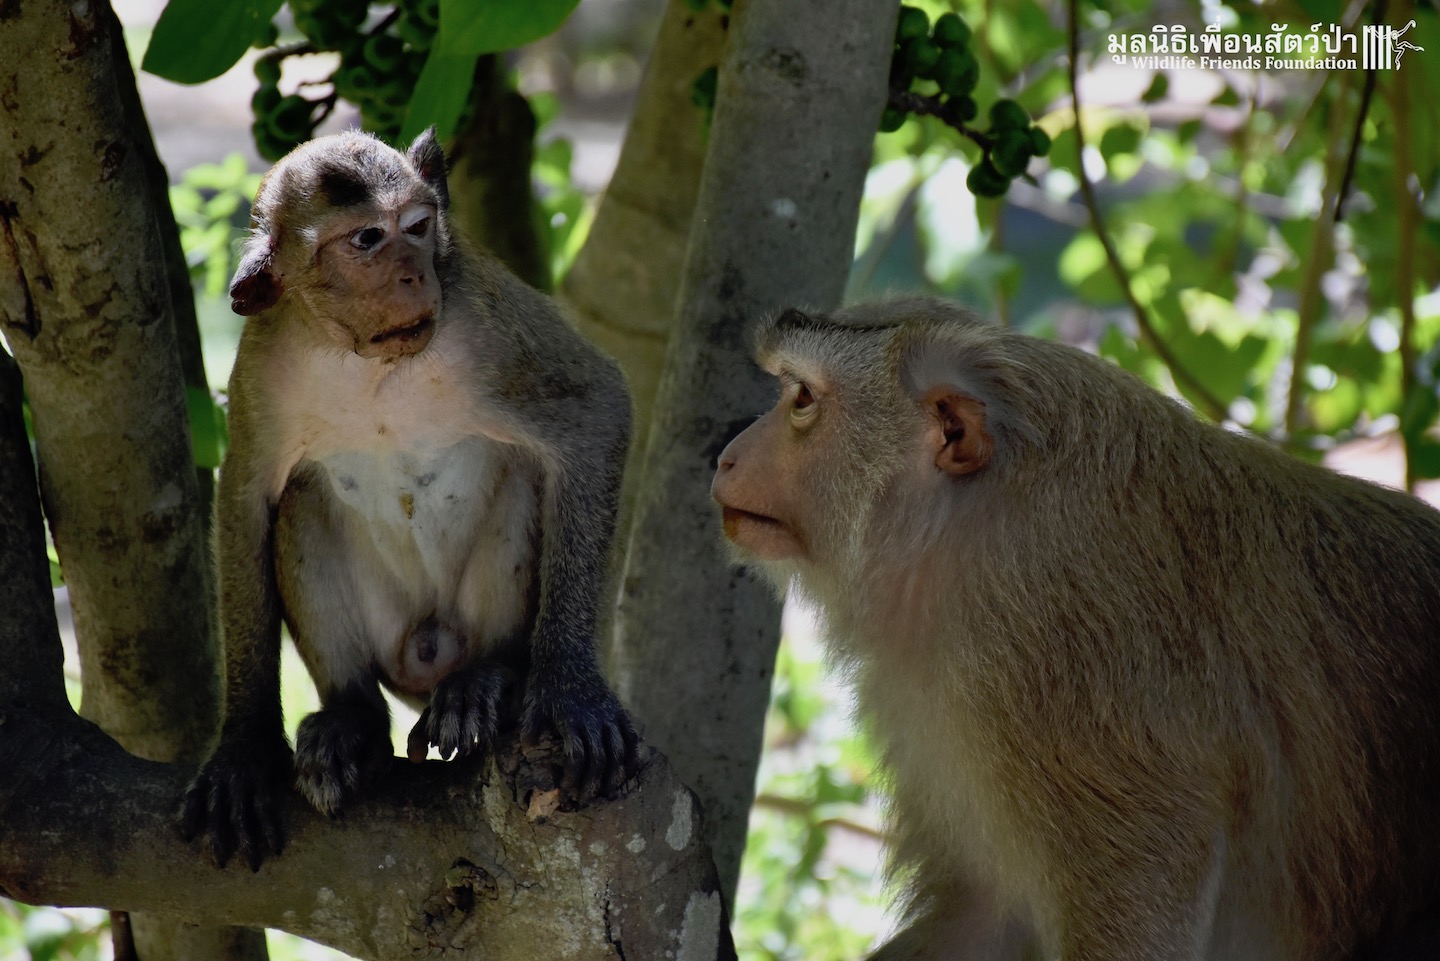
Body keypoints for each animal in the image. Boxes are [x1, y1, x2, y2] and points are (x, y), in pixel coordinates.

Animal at [180, 129, 639, 871]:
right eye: (368, 239)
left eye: (418, 227)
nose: (413, 276)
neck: (372, 363)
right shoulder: (263, 362)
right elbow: (246, 496)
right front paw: (245, 749)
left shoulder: (482, 316)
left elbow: (596, 405)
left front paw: (571, 688)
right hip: (391, 639)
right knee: (301, 498)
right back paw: (352, 718)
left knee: (525, 477)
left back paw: (487, 678)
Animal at [711, 299, 1440, 961]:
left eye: (802, 399)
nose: (725, 457)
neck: (966, 526)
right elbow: (984, 914)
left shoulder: (1050, 653)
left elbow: (1148, 871)